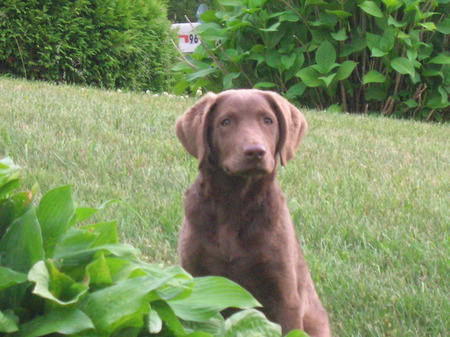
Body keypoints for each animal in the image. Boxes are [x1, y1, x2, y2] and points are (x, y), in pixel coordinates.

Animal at [176, 88, 330, 334]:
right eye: (226, 122)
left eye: (268, 120)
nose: (256, 152)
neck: (235, 203)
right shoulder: (197, 283)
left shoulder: (286, 299)